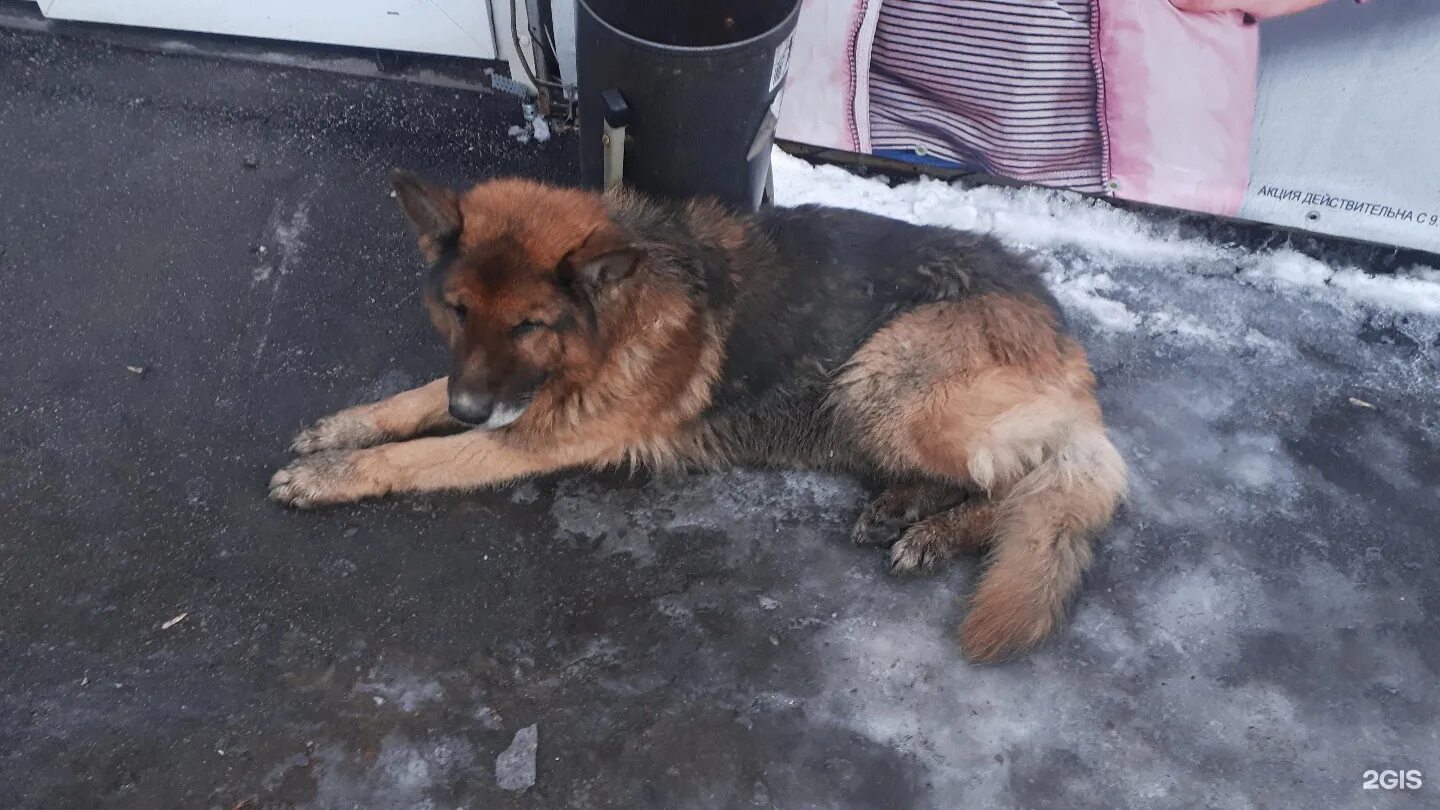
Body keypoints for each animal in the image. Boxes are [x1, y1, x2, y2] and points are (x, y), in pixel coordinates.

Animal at [270, 171, 1123, 662]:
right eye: (457, 310)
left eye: (528, 325)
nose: (469, 407)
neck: (615, 315)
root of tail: (1062, 334)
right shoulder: (490, 389)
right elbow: (417, 399)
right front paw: (345, 426)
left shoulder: (533, 434)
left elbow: (420, 456)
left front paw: (330, 474)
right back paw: (904, 505)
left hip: (881, 374)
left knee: (1019, 484)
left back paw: (933, 531)